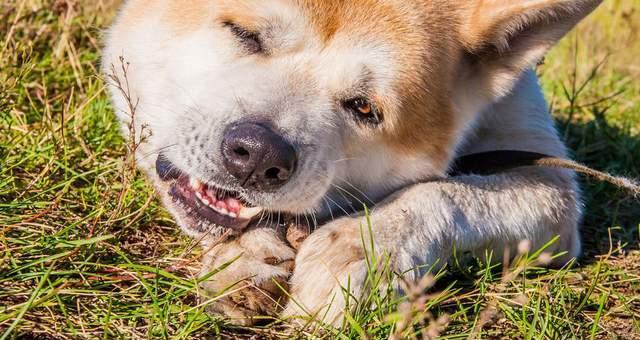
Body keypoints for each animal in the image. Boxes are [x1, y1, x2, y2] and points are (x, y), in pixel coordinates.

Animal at [102, 0, 604, 326]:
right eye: (245, 35)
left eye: (364, 108)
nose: (260, 154)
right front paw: (253, 255)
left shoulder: (550, 179)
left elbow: (441, 194)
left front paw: (363, 253)